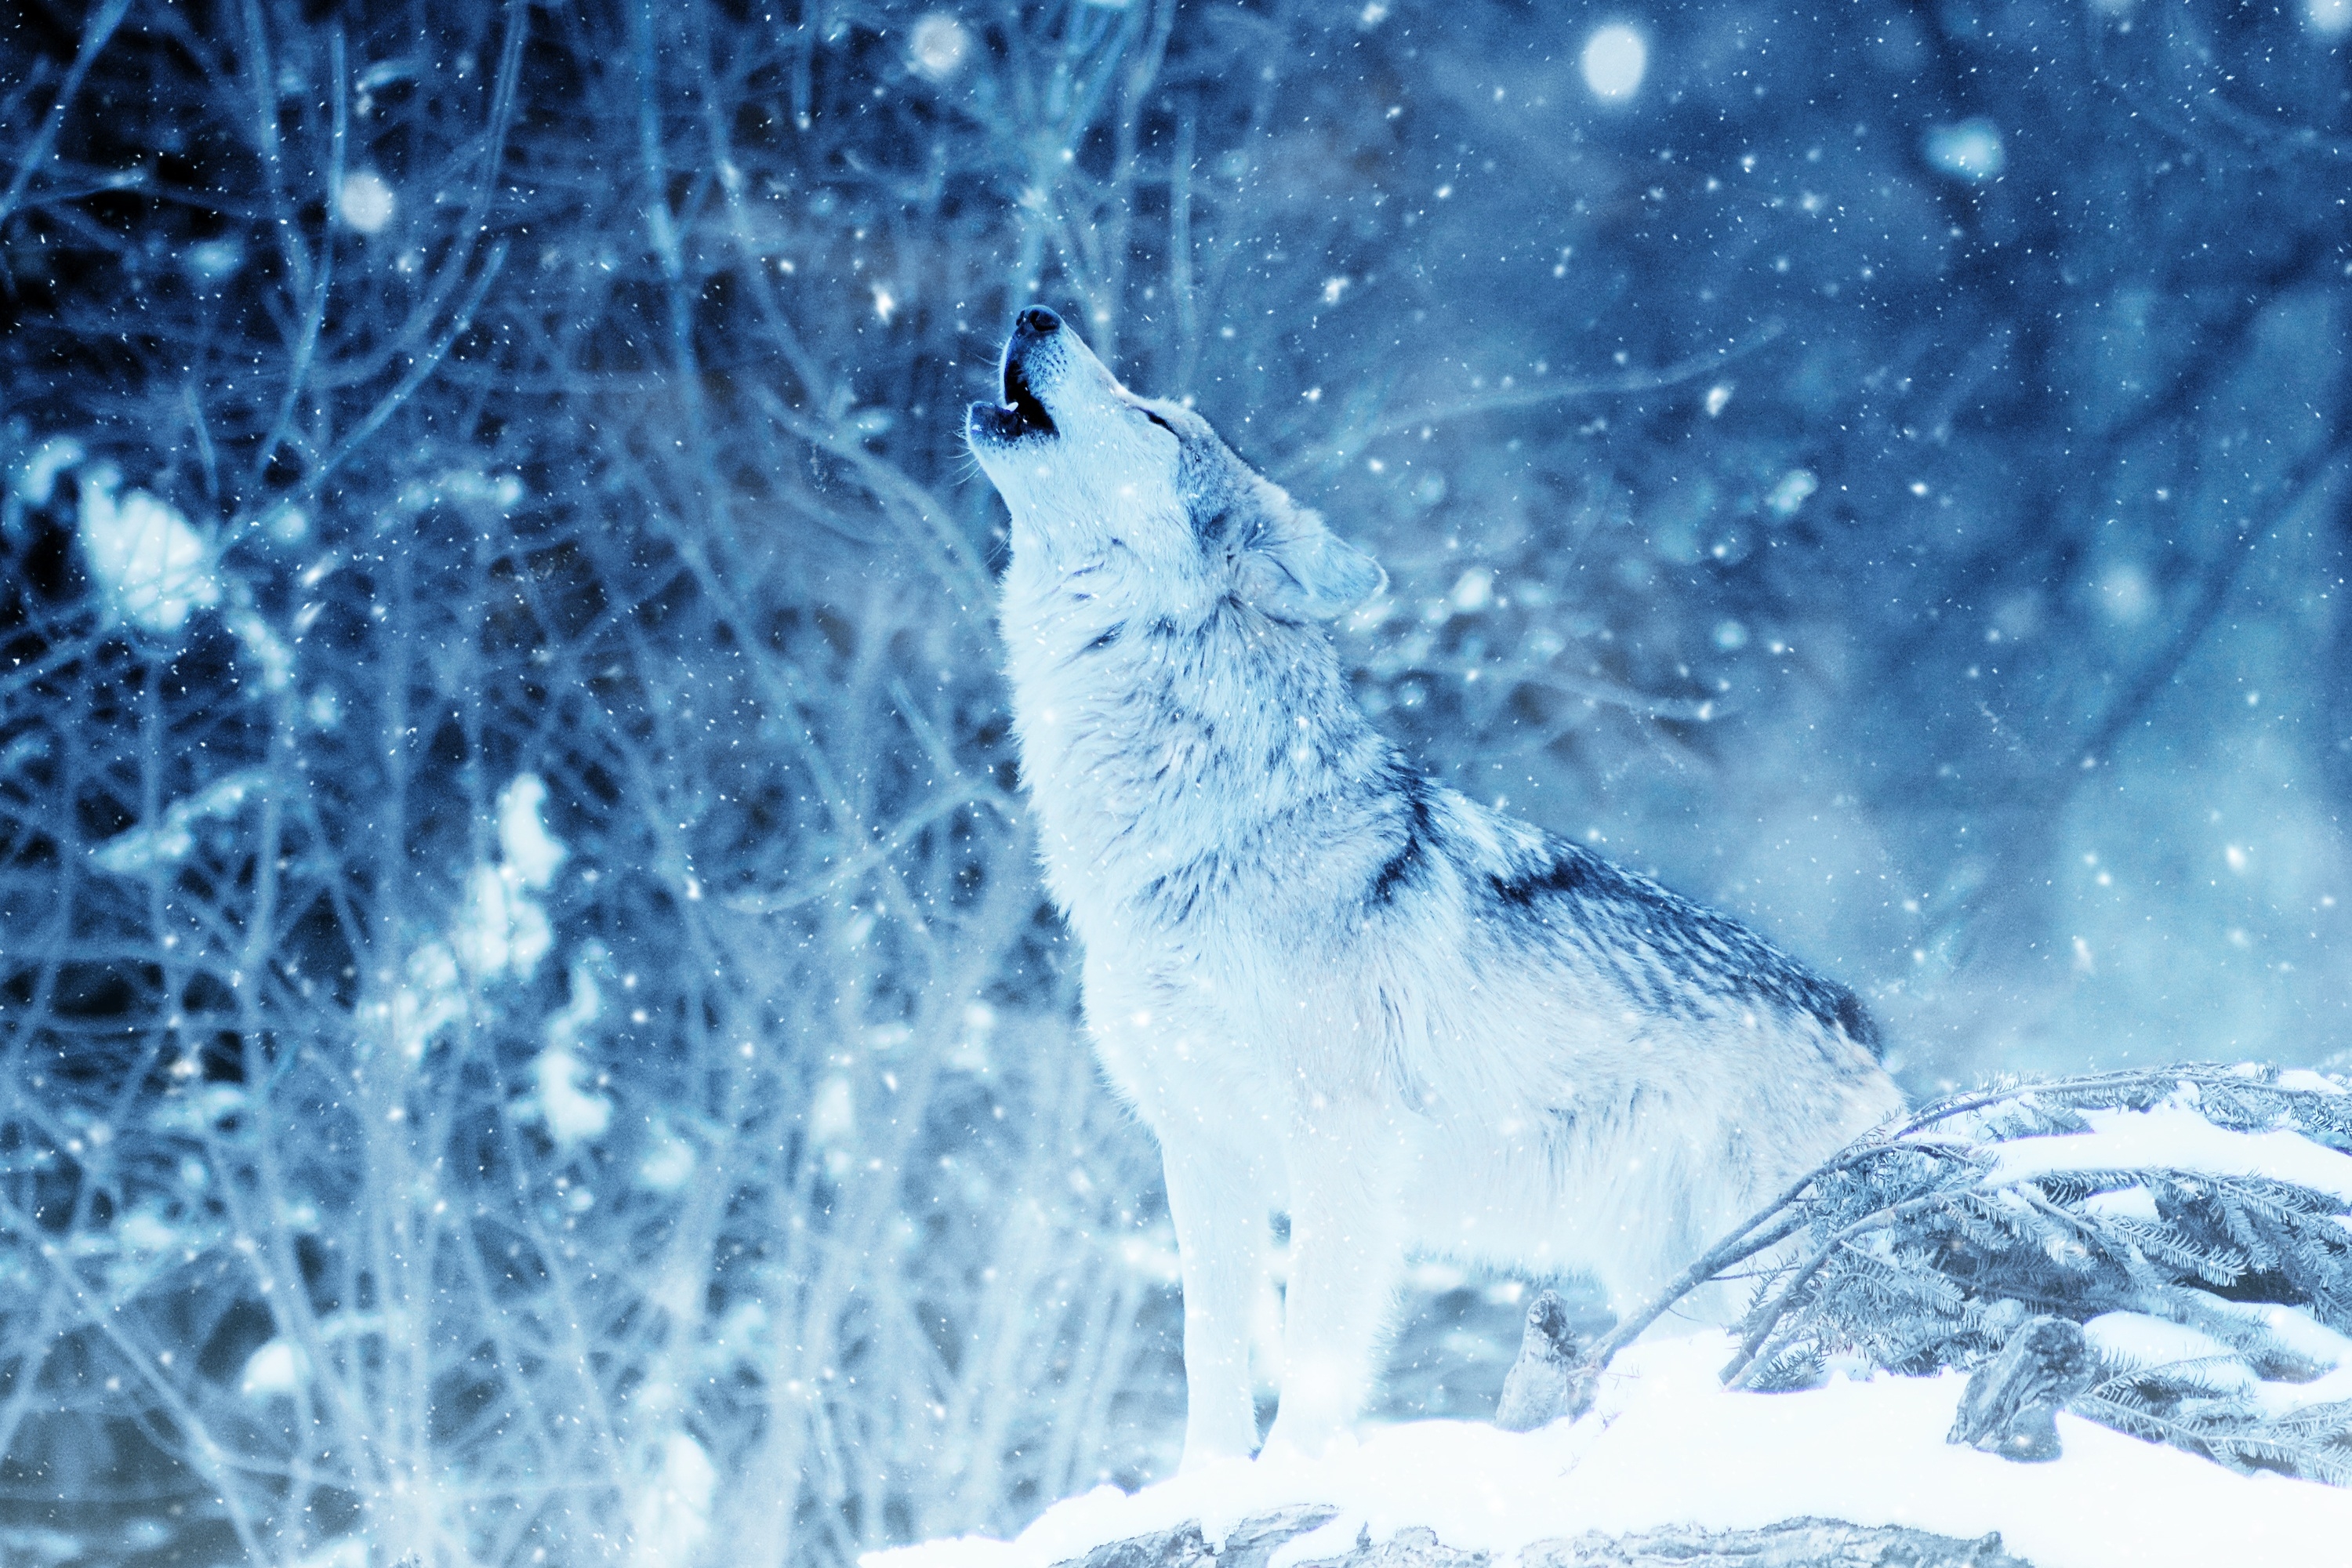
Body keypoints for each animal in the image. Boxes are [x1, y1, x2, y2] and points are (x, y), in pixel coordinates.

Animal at [965, 307, 1904, 1468]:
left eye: (1153, 418)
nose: (1036, 312)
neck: (1202, 830)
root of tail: (1865, 1027)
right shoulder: (1203, 1152)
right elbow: (1209, 1351)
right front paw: (1206, 1484)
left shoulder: (1342, 1150)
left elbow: (1317, 1359)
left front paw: (1290, 1480)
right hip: (1669, 1277)